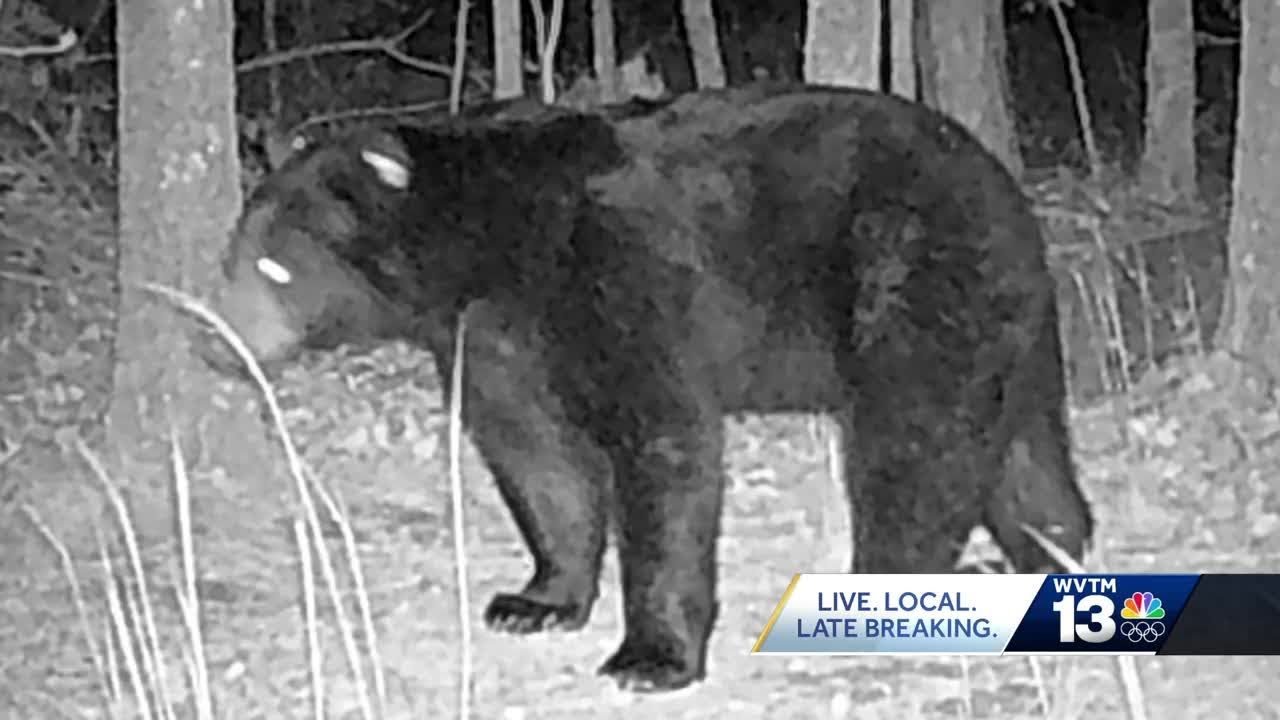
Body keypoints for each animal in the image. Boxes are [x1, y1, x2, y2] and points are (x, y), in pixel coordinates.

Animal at [201, 84, 1094, 692]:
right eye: (234, 253)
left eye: (275, 266)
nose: (213, 339)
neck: (494, 244)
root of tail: (1008, 192)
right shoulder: (495, 336)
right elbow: (537, 456)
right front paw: (535, 598)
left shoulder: (622, 268)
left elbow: (663, 444)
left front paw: (648, 656)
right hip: (999, 324)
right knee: (1021, 449)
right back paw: (1043, 552)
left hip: (908, 280)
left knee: (914, 447)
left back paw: (882, 593)